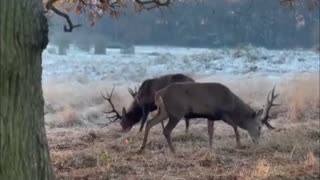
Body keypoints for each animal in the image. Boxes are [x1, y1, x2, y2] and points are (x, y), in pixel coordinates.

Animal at [139, 82, 278, 153]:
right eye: (259, 126)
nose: (256, 141)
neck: (232, 105)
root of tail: (159, 93)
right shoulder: (222, 113)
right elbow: (234, 126)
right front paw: (239, 144)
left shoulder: (210, 116)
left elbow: (210, 131)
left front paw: (210, 148)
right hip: (176, 112)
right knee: (166, 130)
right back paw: (173, 150)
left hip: (164, 112)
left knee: (149, 123)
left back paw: (142, 147)